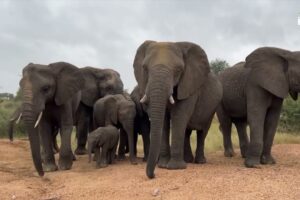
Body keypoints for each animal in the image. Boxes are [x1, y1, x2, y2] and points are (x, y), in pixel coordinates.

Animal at [132, 40, 221, 178]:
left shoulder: (188, 85)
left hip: (212, 108)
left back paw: (200, 161)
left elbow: (179, 117)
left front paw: (175, 168)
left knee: (202, 131)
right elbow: (164, 120)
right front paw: (163, 165)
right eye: (144, 68)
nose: (153, 175)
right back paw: (188, 160)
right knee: (187, 132)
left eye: (179, 70)